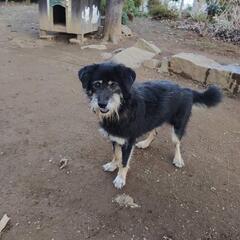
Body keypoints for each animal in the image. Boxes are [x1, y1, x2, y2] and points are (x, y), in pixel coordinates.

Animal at [78, 62, 222, 189]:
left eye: (113, 85)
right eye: (97, 84)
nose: (101, 104)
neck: (120, 109)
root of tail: (187, 89)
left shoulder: (128, 142)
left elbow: (124, 162)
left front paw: (120, 178)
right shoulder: (115, 137)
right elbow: (116, 155)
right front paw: (113, 165)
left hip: (178, 125)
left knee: (177, 142)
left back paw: (178, 159)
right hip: (156, 118)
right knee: (154, 132)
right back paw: (144, 143)